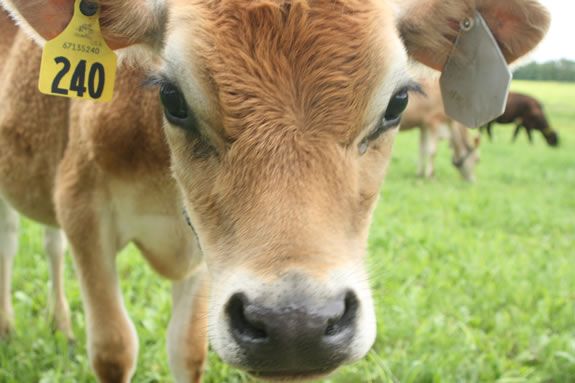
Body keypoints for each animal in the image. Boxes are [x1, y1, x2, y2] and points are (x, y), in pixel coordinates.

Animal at [0, 0, 548, 383]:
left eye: (396, 103)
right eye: (172, 97)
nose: (295, 324)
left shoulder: (206, 256)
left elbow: (188, 351)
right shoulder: (82, 208)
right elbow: (115, 348)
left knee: (47, 242)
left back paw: (60, 323)